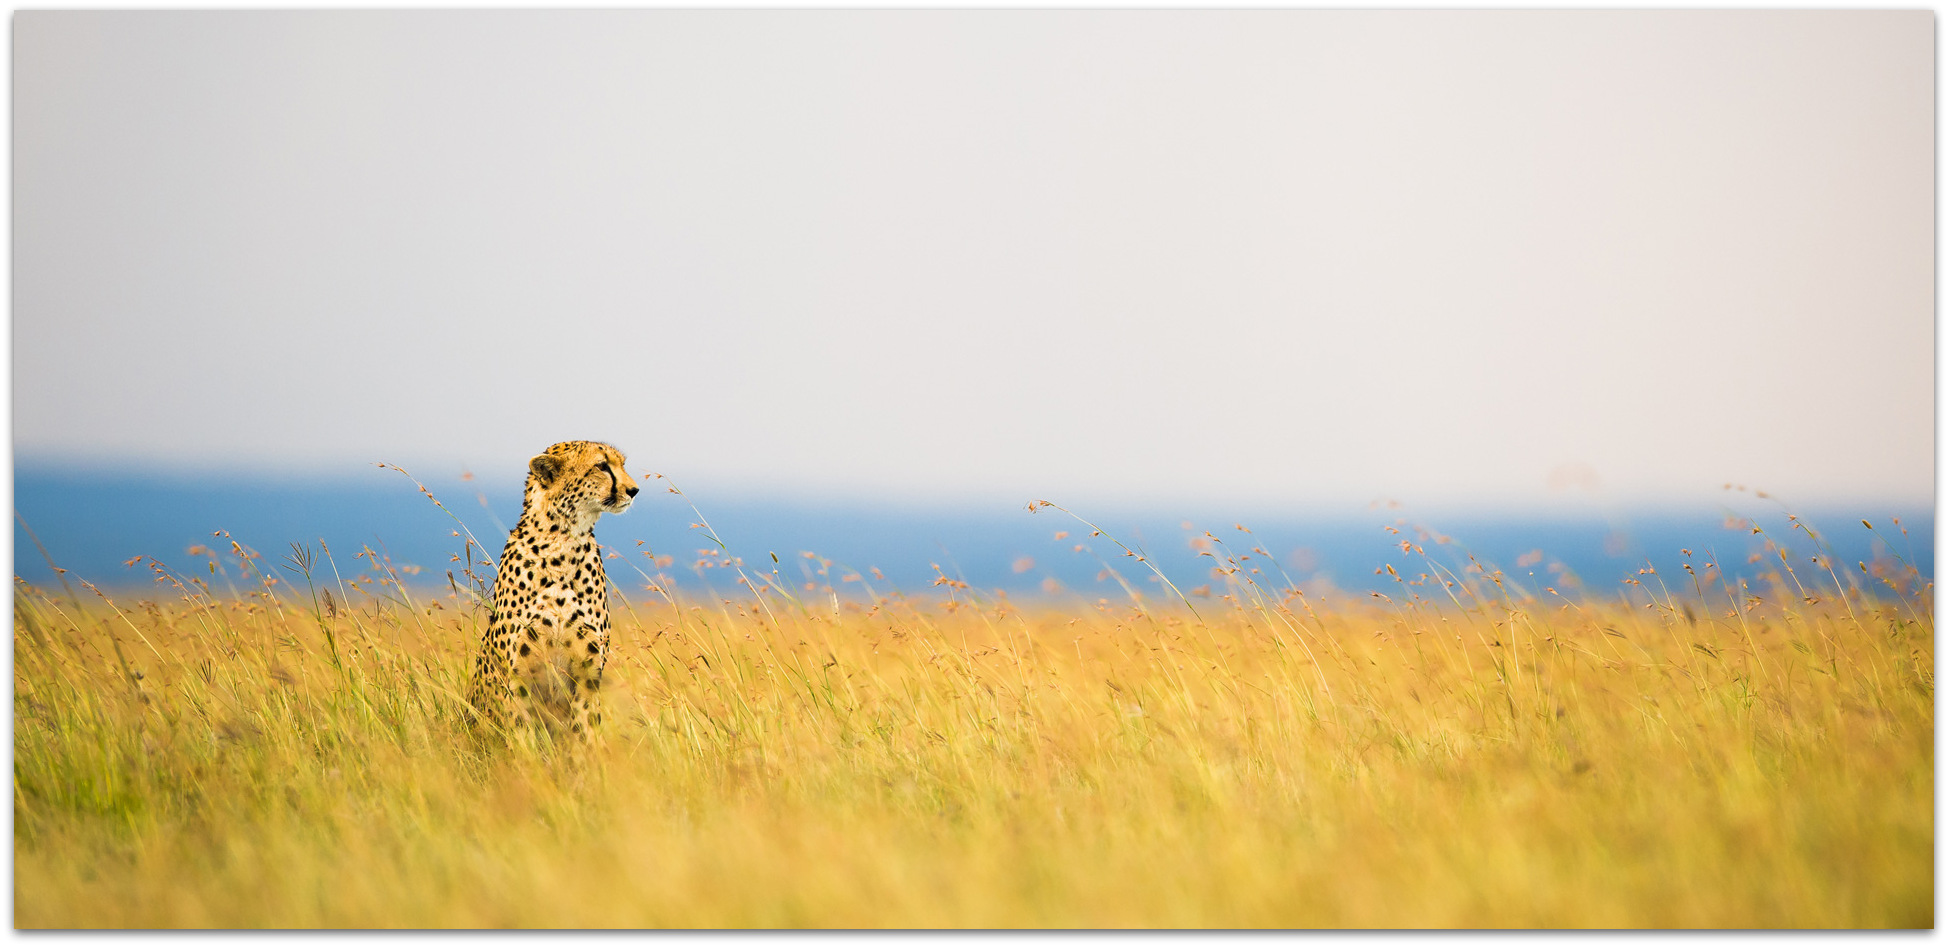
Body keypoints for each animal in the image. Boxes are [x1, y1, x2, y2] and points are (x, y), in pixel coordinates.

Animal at [463, 440, 638, 736]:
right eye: (602, 466)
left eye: (622, 465)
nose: (634, 490)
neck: (562, 541)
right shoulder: (519, 677)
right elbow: (521, 732)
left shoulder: (587, 676)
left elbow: (585, 731)